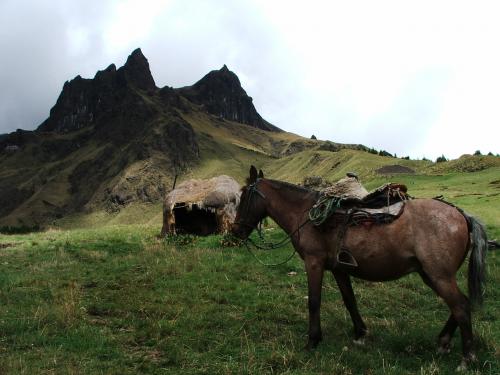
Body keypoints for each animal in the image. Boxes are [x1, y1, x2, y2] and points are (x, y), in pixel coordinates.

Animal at [233, 167, 488, 370]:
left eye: (244, 197)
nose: (235, 232)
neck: (305, 214)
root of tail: (461, 215)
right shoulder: (338, 268)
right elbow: (349, 299)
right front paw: (360, 334)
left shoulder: (314, 263)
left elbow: (314, 301)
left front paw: (312, 341)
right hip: (431, 274)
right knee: (460, 304)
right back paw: (443, 342)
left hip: (439, 275)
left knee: (460, 306)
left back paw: (467, 358)